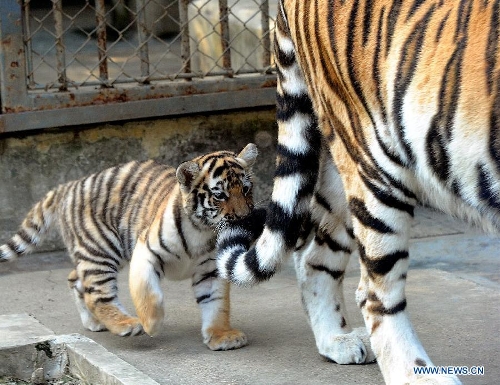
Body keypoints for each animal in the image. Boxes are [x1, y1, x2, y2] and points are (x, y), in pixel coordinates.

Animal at [217, 1, 498, 382]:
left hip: (344, 171)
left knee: (313, 257)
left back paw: (336, 341)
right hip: (375, 165)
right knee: (375, 293)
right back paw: (417, 373)